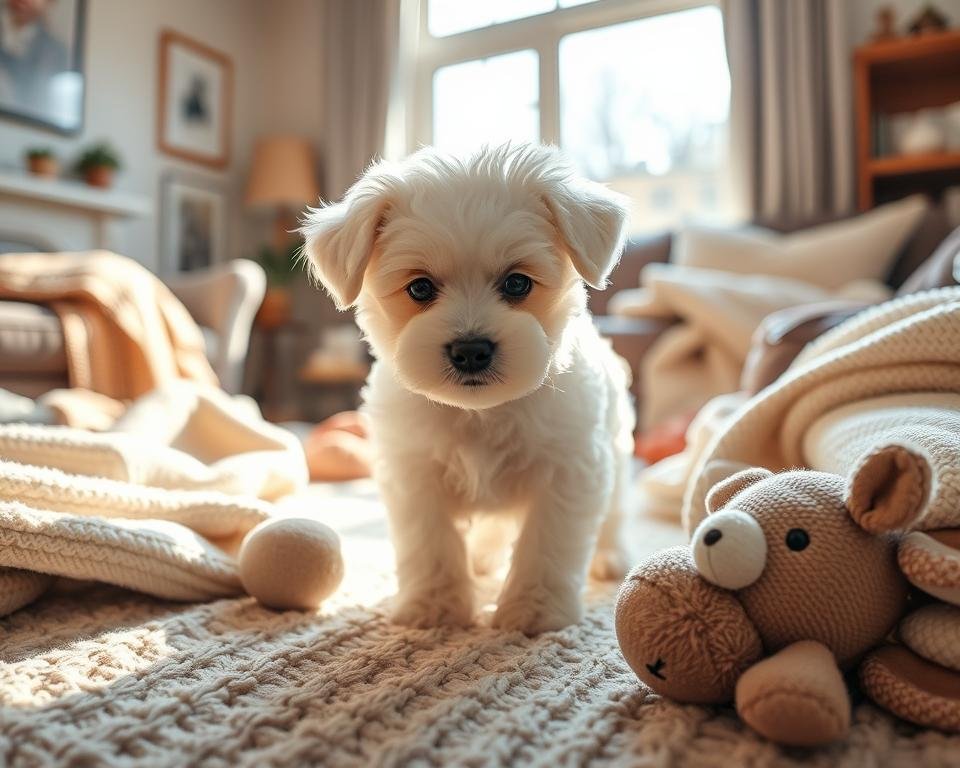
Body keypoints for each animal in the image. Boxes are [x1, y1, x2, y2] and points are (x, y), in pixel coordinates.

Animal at [304, 144, 636, 636]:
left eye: (517, 283)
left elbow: (546, 543)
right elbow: (432, 543)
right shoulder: (414, 470)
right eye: (420, 288)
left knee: (613, 513)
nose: (471, 350)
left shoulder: (570, 467)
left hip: (615, 452)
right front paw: (436, 608)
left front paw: (534, 611)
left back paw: (611, 557)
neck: (481, 413)